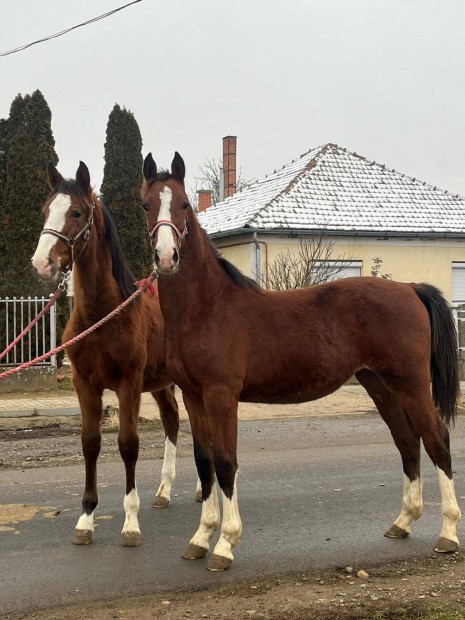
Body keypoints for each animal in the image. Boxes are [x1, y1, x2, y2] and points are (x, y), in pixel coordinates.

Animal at [31, 161, 198, 548]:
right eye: (46, 210)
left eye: (76, 213)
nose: (42, 263)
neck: (102, 315)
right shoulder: (84, 385)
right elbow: (90, 443)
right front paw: (86, 519)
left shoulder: (128, 384)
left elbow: (128, 444)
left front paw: (131, 524)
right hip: (161, 384)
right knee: (172, 420)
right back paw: (164, 491)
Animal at [140, 151, 460, 572]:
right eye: (147, 205)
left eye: (184, 206)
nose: (165, 257)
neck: (206, 308)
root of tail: (410, 288)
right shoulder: (194, 397)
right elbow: (203, 461)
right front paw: (200, 537)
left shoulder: (222, 396)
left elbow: (226, 462)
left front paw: (225, 544)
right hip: (379, 383)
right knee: (407, 441)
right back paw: (403, 522)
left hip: (410, 383)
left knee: (436, 438)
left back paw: (448, 533)